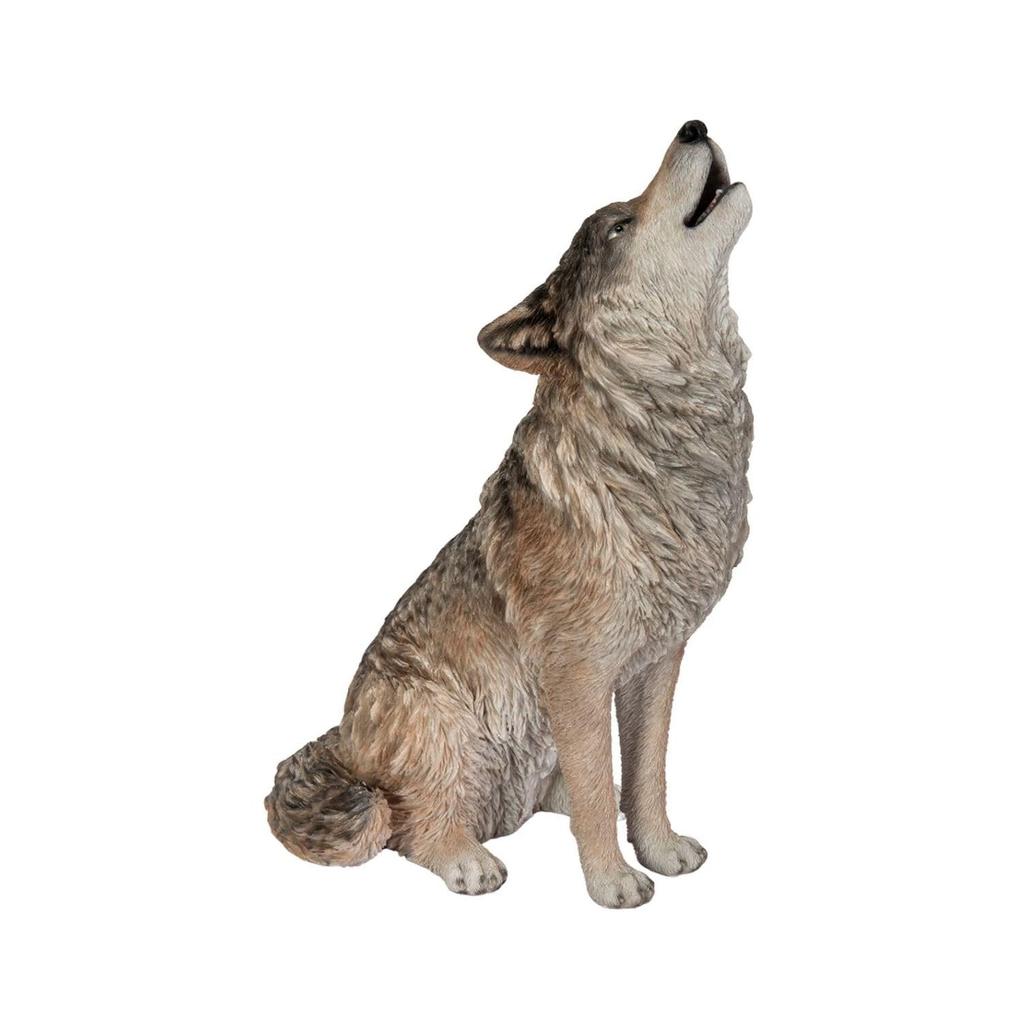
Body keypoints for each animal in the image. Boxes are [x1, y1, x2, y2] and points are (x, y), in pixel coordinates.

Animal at [266, 120, 752, 908]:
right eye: (618, 227)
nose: (694, 126)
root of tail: (345, 746)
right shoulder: (576, 673)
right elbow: (601, 787)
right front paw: (613, 880)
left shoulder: (657, 661)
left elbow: (645, 773)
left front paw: (659, 848)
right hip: (435, 715)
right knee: (414, 826)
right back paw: (468, 858)